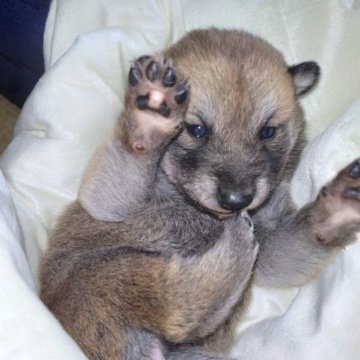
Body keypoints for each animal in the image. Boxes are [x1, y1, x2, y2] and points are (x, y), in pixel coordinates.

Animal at [39, 28, 360, 360]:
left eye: (267, 132)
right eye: (197, 130)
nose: (236, 201)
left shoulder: (272, 247)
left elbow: (302, 236)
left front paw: (334, 211)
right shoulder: (110, 201)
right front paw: (151, 119)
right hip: (104, 274)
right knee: (175, 308)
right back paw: (233, 243)